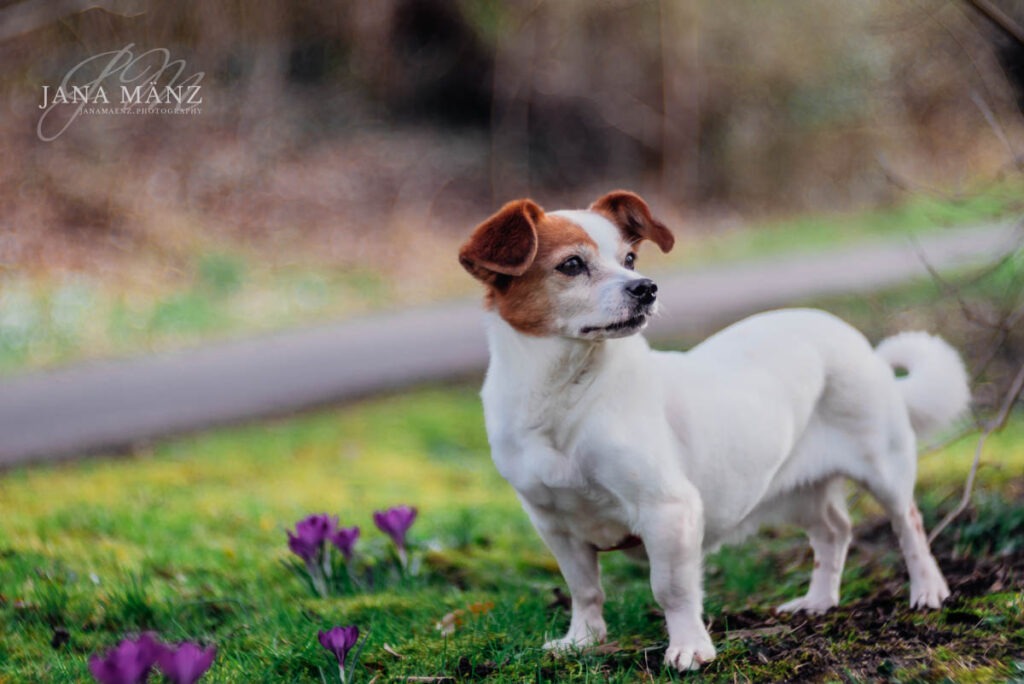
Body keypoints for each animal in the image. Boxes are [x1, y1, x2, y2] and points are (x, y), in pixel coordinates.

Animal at [460, 189, 970, 671]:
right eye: (571, 264)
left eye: (630, 258)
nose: (646, 288)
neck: (564, 396)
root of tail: (851, 337)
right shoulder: (555, 526)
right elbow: (584, 589)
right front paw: (583, 641)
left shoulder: (669, 511)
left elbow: (671, 589)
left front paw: (689, 648)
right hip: (796, 491)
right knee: (833, 532)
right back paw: (819, 601)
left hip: (883, 468)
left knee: (909, 524)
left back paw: (927, 590)